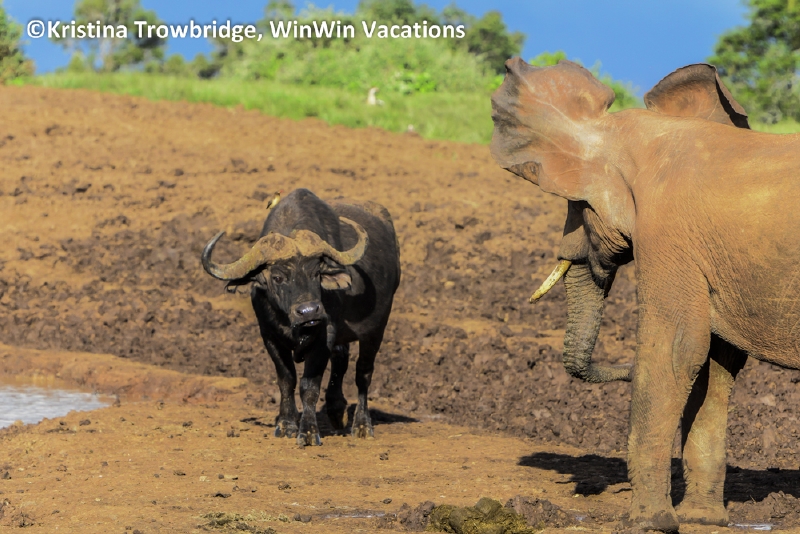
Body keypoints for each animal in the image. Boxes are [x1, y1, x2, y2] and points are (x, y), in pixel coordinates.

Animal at [201, 189, 401, 446]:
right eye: (277, 277)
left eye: (316, 273)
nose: (309, 311)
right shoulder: (270, 336)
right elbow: (286, 380)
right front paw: (286, 424)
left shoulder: (325, 336)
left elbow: (309, 385)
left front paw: (307, 431)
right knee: (342, 359)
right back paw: (336, 410)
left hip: (376, 331)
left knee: (363, 374)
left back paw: (362, 425)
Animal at [490, 57, 800, 532]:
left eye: (577, 206)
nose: (625, 370)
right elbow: (715, 363)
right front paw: (700, 520)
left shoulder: (666, 233)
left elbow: (675, 349)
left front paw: (650, 523)